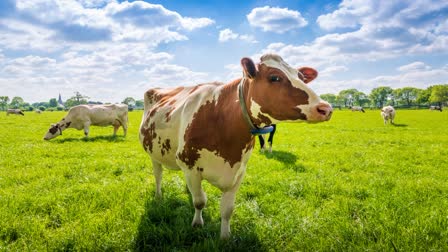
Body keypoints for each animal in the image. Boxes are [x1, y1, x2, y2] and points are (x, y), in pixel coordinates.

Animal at [139, 53, 332, 238]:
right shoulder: (190, 167)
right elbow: (200, 201)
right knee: (158, 176)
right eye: (274, 77)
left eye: (301, 76)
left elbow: (227, 210)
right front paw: (197, 224)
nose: (326, 108)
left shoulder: (238, 171)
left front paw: (225, 237)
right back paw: (158, 196)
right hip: (153, 154)